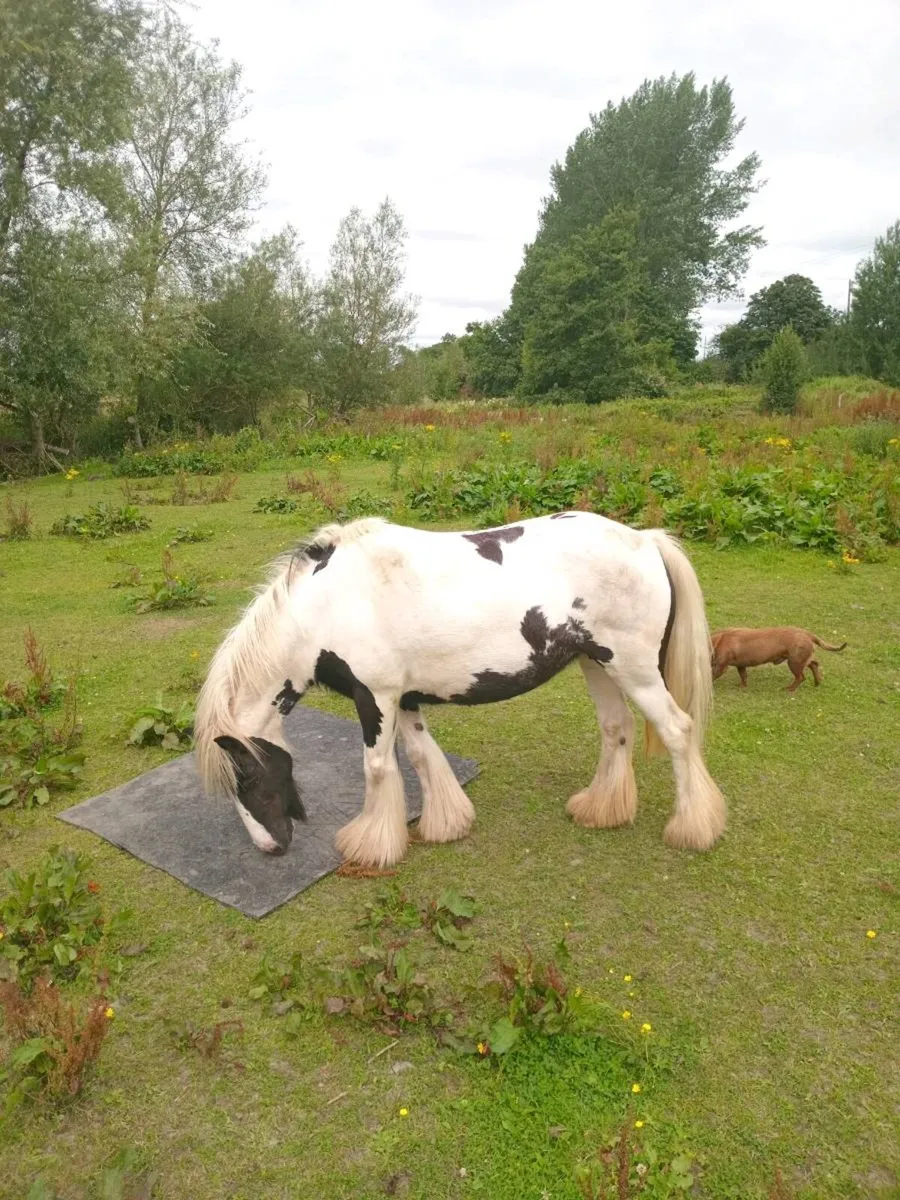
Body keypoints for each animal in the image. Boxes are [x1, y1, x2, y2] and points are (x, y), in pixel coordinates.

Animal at [195, 514, 726, 867]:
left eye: (246, 780)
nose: (270, 847)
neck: (326, 607)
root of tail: (646, 541)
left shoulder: (376, 698)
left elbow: (378, 767)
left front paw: (371, 845)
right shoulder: (404, 698)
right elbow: (421, 755)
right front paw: (446, 823)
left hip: (633, 669)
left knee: (678, 730)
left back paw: (692, 828)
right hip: (596, 663)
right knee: (616, 728)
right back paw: (601, 810)